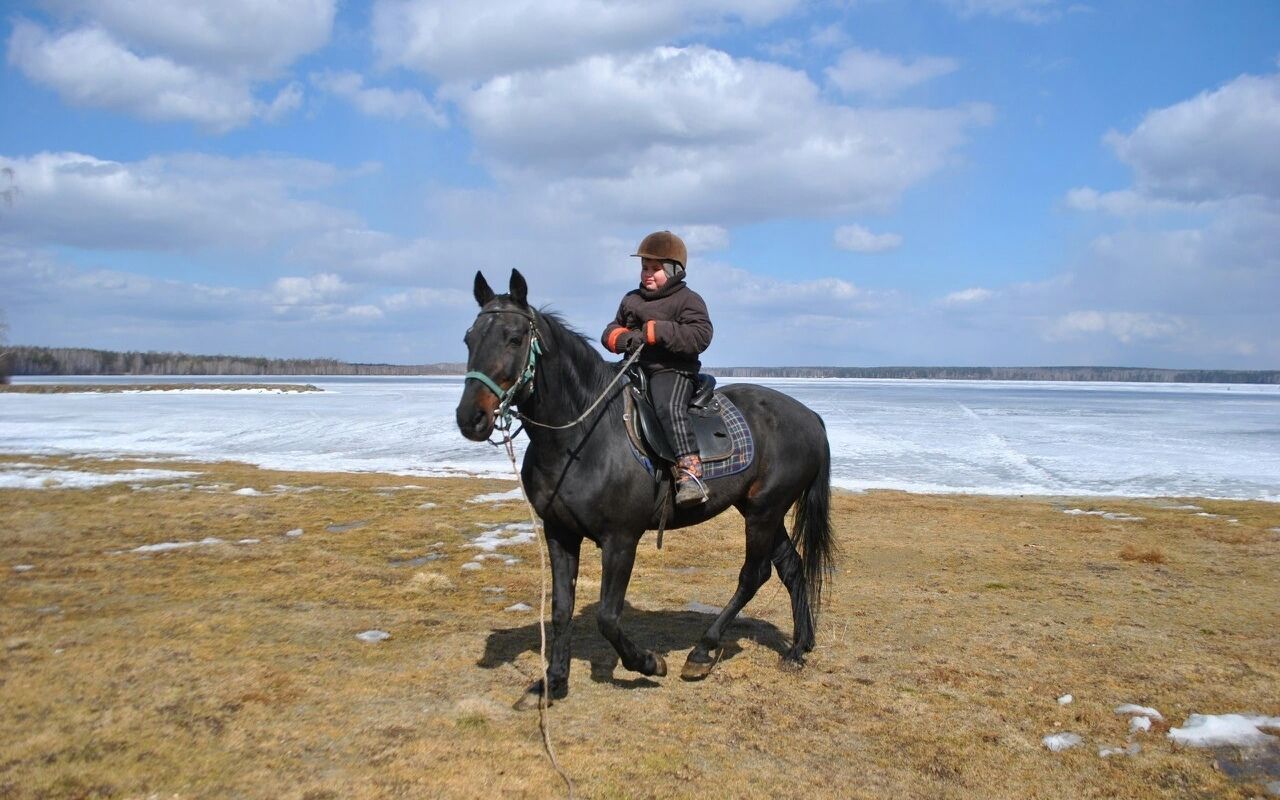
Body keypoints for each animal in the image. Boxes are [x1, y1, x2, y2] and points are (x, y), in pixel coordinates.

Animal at [455, 270, 834, 706]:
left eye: (515, 338)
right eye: (469, 338)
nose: (470, 417)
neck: (581, 437)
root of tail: (810, 416)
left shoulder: (621, 540)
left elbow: (607, 616)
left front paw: (649, 663)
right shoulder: (559, 533)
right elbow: (561, 609)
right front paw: (553, 682)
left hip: (764, 512)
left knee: (753, 575)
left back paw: (702, 652)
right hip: (763, 511)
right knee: (791, 568)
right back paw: (798, 648)